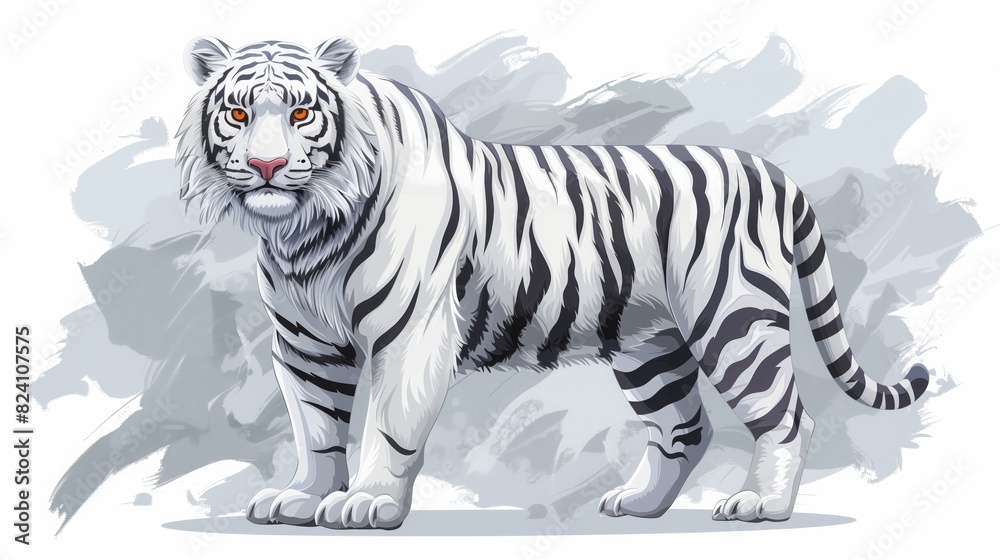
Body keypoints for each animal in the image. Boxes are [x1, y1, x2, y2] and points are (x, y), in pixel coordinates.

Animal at [176, 36, 930, 530]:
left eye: (302, 114)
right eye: (238, 114)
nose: (268, 166)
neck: (305, 231)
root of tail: (772, 173)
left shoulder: (411, 334)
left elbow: (386, 428)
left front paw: (366, 503)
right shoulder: (306, 345)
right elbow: (314, 426)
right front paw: (303, 497)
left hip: (733, 319)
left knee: (786, 416)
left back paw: (761, 506)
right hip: (648, 345)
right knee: (683, 428)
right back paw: (639, 504)